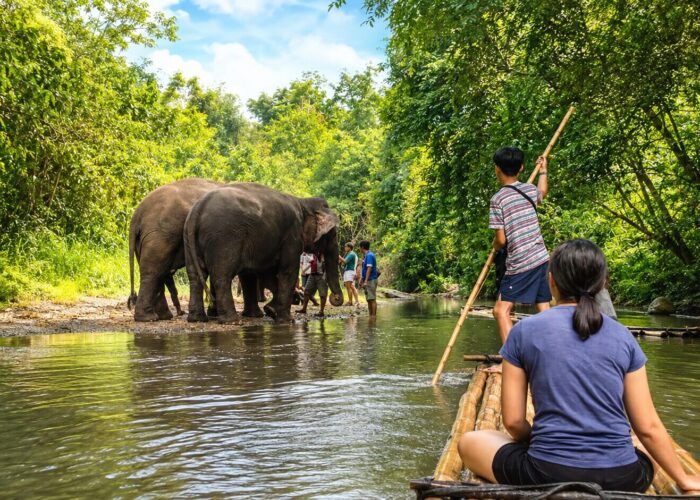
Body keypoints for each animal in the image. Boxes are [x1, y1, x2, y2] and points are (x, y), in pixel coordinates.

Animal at [128, 178, 223, 321]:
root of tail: (137, 214)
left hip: (146, 239)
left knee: (158, 272)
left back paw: (163, 316)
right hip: (160, 235)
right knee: (153, 272)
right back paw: (149, 318)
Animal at [184, 182, 344, 323]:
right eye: (333, 234)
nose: (335, 298)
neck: (303, 202)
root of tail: (197, 209)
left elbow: (261, 275)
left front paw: (269, 311)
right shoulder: (292, 236)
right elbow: (287, 272)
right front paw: (286, 320)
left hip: (189, 238)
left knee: (195, 276)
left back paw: (197, 319)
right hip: (224, 237)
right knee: (221, 276)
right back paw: (232, 321)